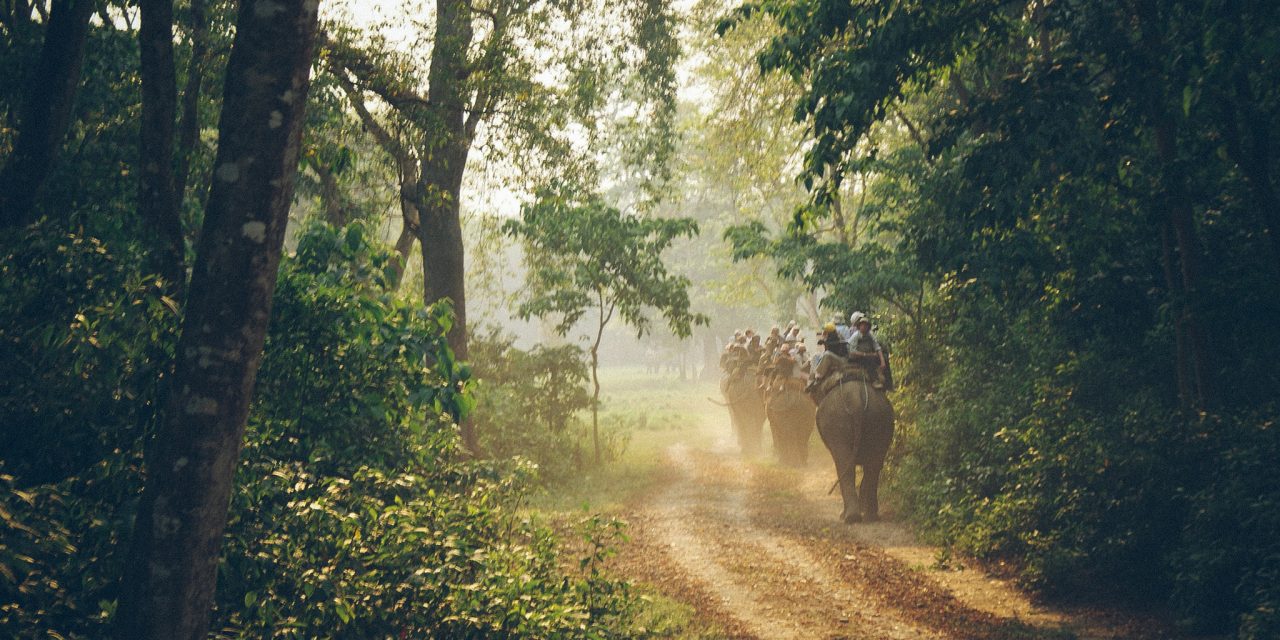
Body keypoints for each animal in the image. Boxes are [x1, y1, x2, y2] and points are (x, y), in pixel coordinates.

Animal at [814, 373, 896, 519]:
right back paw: (869, 516)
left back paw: (849, 517)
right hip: (879, 419)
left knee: (843, 463)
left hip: (837, 422)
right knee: (874, 466)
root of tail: (856, 399)